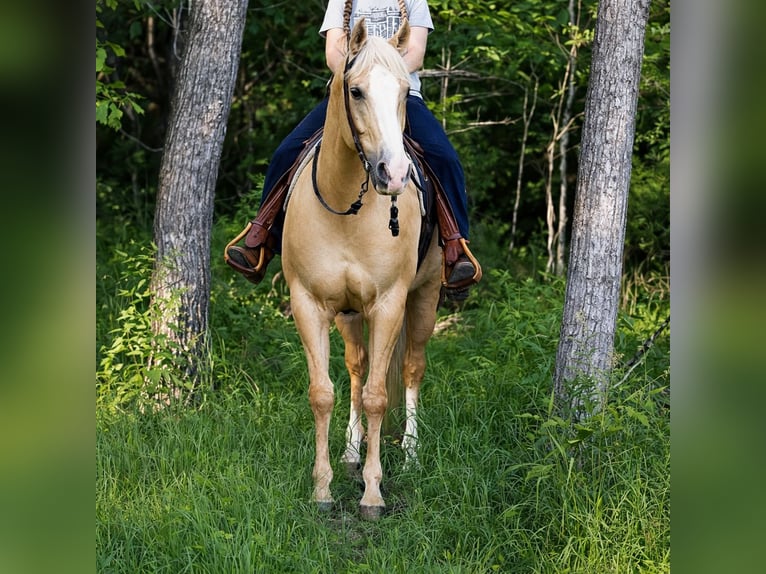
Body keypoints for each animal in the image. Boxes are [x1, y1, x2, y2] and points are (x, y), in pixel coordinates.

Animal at [281, 18, 442, 520]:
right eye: (355, 91)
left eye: (403, 93)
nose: (394, 174)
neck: (346, 207)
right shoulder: (309, 303)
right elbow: (323, 393)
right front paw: (322, 488)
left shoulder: (390, 304)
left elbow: (377, 396)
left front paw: (373, 493)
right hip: (350, 314)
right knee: (356, 367)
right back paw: (352, 451)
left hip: (425, 297)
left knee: (411, 369)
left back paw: (411, 453)